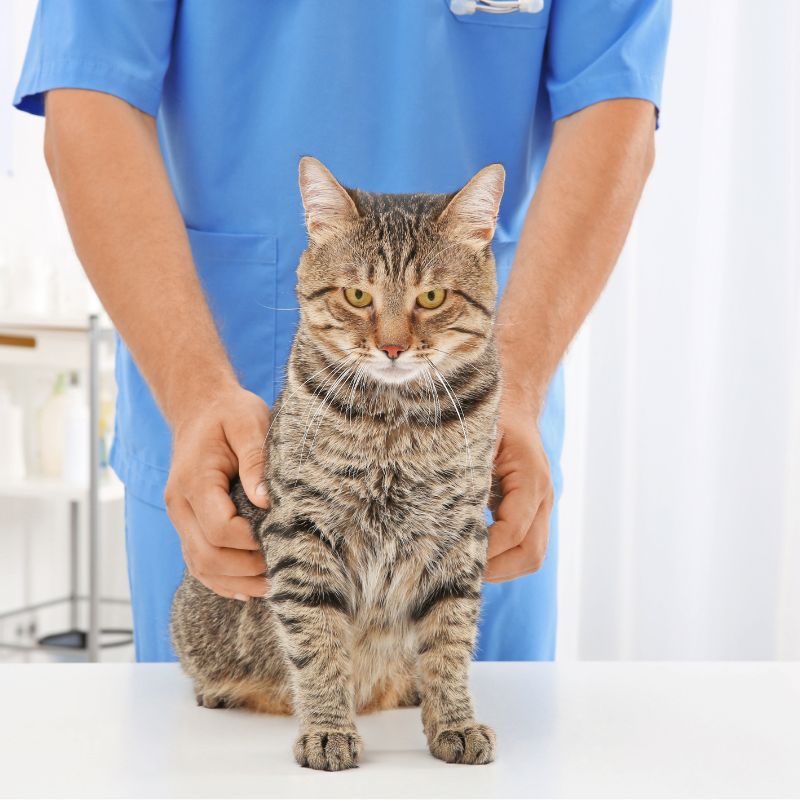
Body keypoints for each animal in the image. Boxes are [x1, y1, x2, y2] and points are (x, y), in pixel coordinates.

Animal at [170, 156, 506, 768]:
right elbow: (318, 641)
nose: (393, 348)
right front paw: (327, 728)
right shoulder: (303, 529)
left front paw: (454, 720)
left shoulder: (458, 535)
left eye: (431, 298)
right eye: (356, 295)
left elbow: (449, 640)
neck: (396, 426)